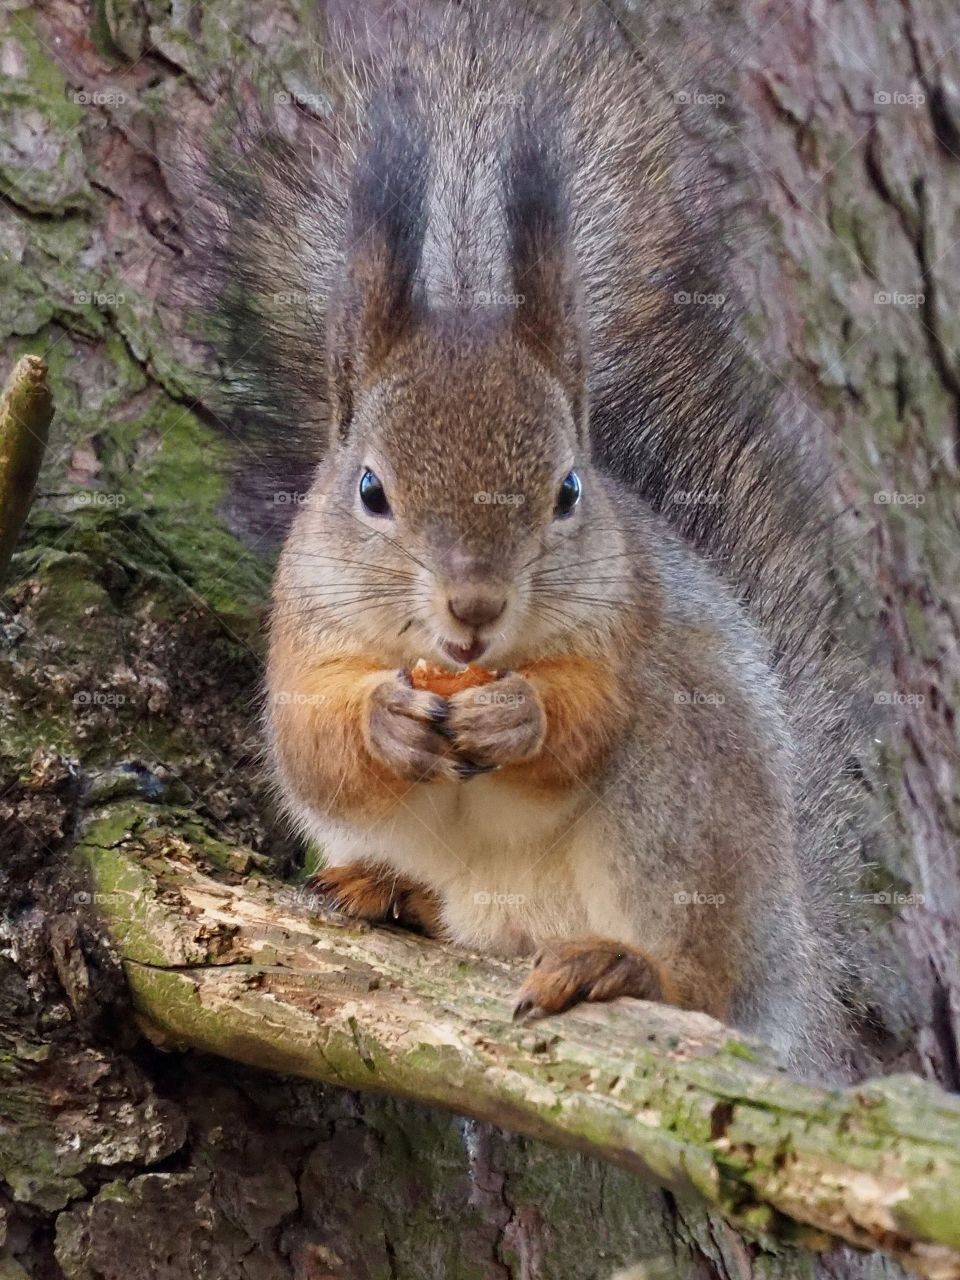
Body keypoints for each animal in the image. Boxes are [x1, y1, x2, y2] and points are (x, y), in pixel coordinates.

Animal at [201, 2, 865, 1072]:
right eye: (370, 489)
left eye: (568, 489)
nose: (475, 608)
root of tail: (794, 974)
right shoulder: (300, 629)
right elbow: (312, 744)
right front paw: (385, 722)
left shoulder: (629, 614)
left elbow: (587, 718)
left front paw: (521, 717)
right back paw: (389, 888)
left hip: (683, 807)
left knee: (703, 985)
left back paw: (624, 966)